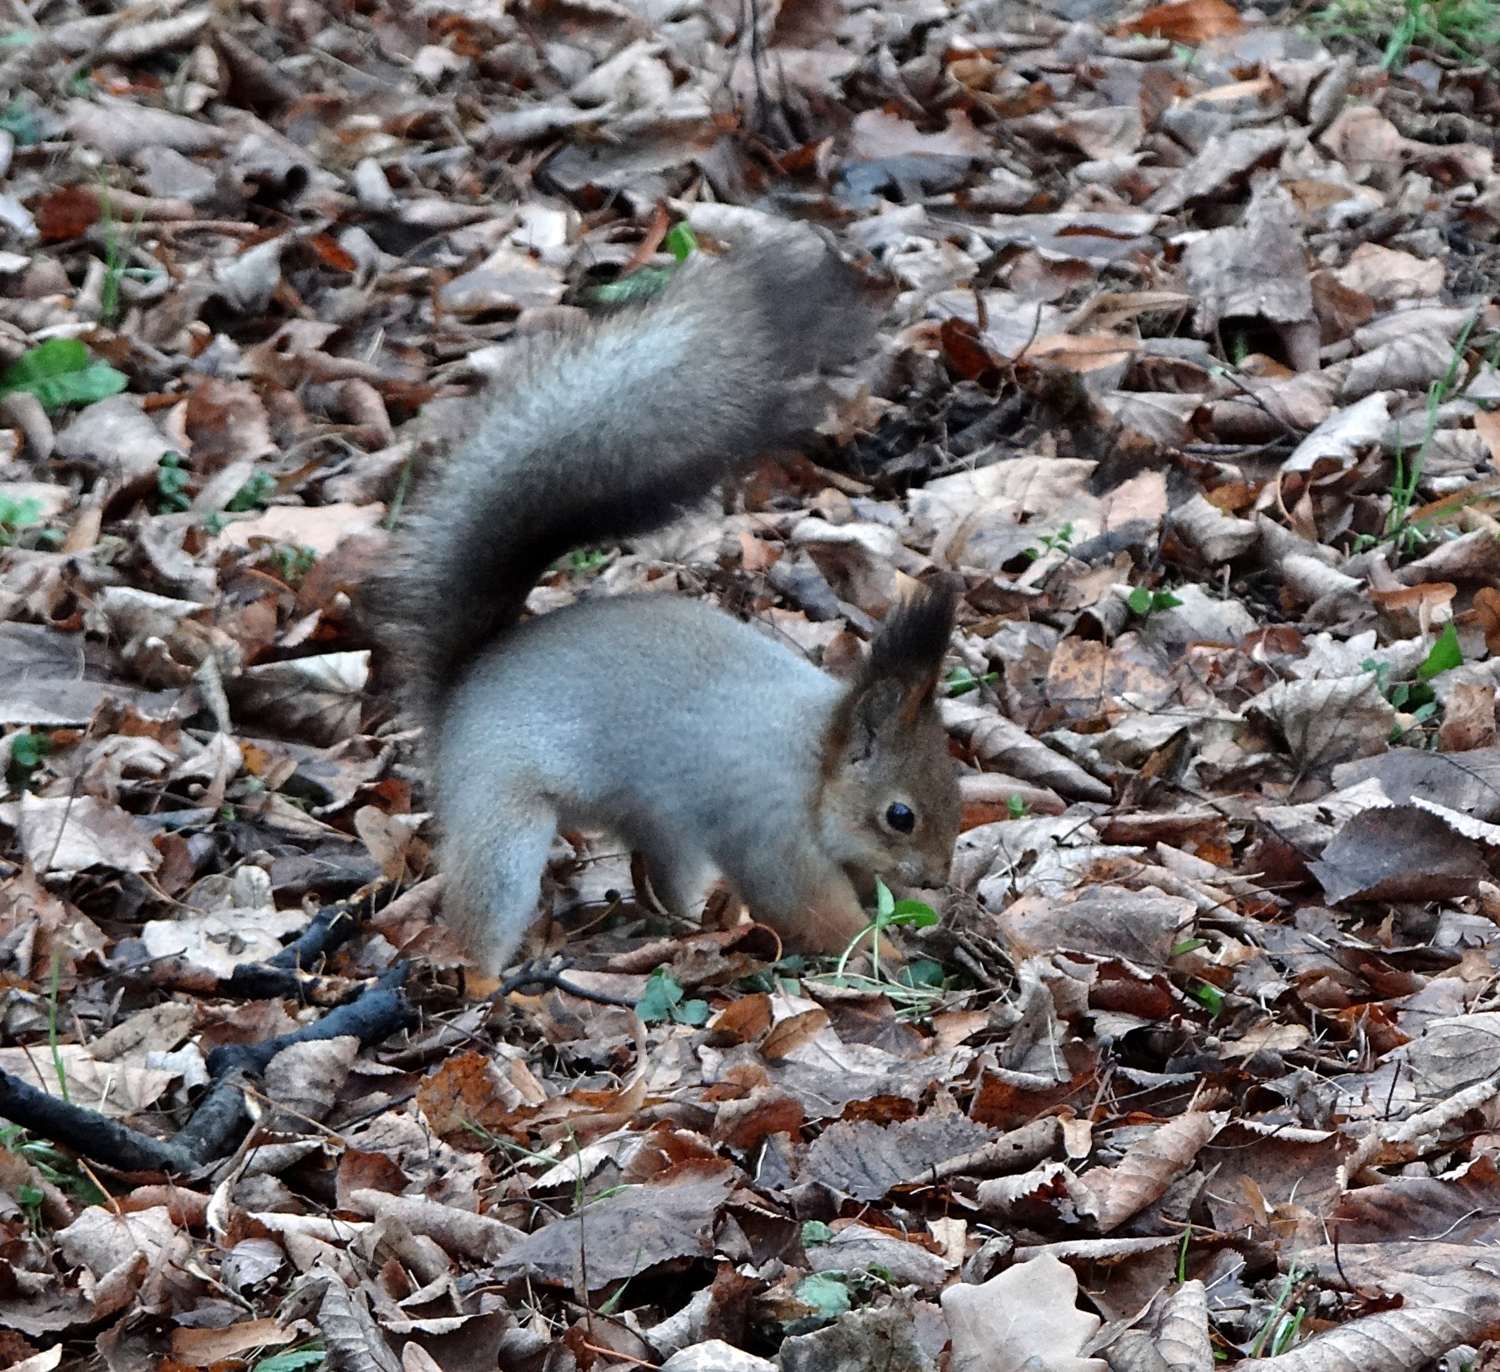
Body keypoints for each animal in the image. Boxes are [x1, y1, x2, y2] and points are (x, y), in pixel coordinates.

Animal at [387, 230, 960, 977]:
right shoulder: (769, 832)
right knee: (483, 914)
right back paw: (489, 979)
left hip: (665, 831)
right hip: (501, 816)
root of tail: (457, 690)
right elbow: (815, 911)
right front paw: (883, 954)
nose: (941, 876)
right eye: (900, 816)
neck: (813, 760)